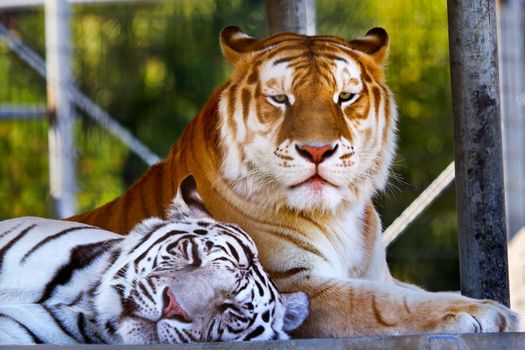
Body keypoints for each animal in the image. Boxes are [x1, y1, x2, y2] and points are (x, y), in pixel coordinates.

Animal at [70, 26, 520, 336]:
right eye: (280, 99)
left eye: (345, 97)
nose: (317, 151)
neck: (340, 216)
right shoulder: (293, 283)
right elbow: (385, 305)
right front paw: (485, 312)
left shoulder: (376, 274)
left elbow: (409, 292)